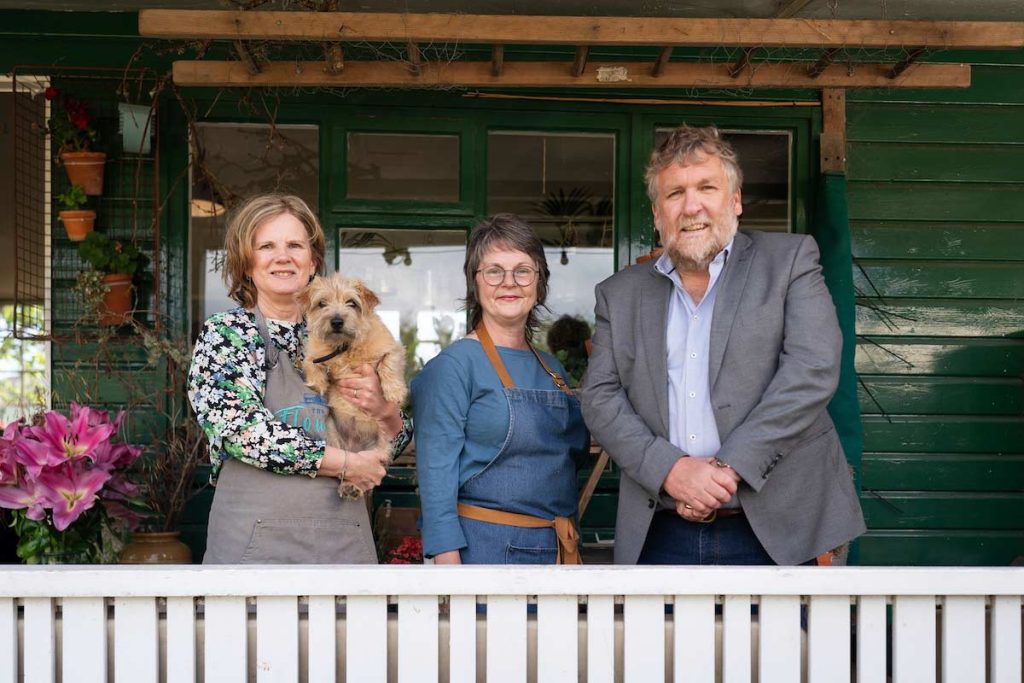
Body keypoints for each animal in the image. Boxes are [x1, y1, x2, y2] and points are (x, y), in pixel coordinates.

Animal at [299, 274, 405, 501]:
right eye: (322, 303)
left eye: (352, 303)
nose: (337, 321)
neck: (344, 347)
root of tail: (354, 448)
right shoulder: (315, 353)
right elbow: (311, 363)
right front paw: (318, 383)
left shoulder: (392, 348)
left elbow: (388, 363)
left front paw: (394, 390)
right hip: (334, 438)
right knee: (347, 468)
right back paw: (349, 486)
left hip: (379, 448)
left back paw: (353, 487)